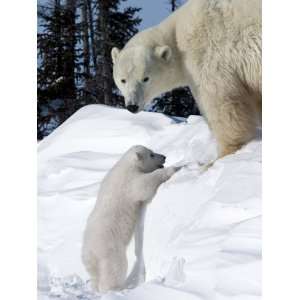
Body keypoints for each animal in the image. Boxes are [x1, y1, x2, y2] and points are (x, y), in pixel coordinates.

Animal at [111, 0, 262, 159]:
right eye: (123, 80)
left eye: (146, 78)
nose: (132, 106)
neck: (176, 36)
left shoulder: (207, 54)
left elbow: (221, 100)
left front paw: (224, 153)